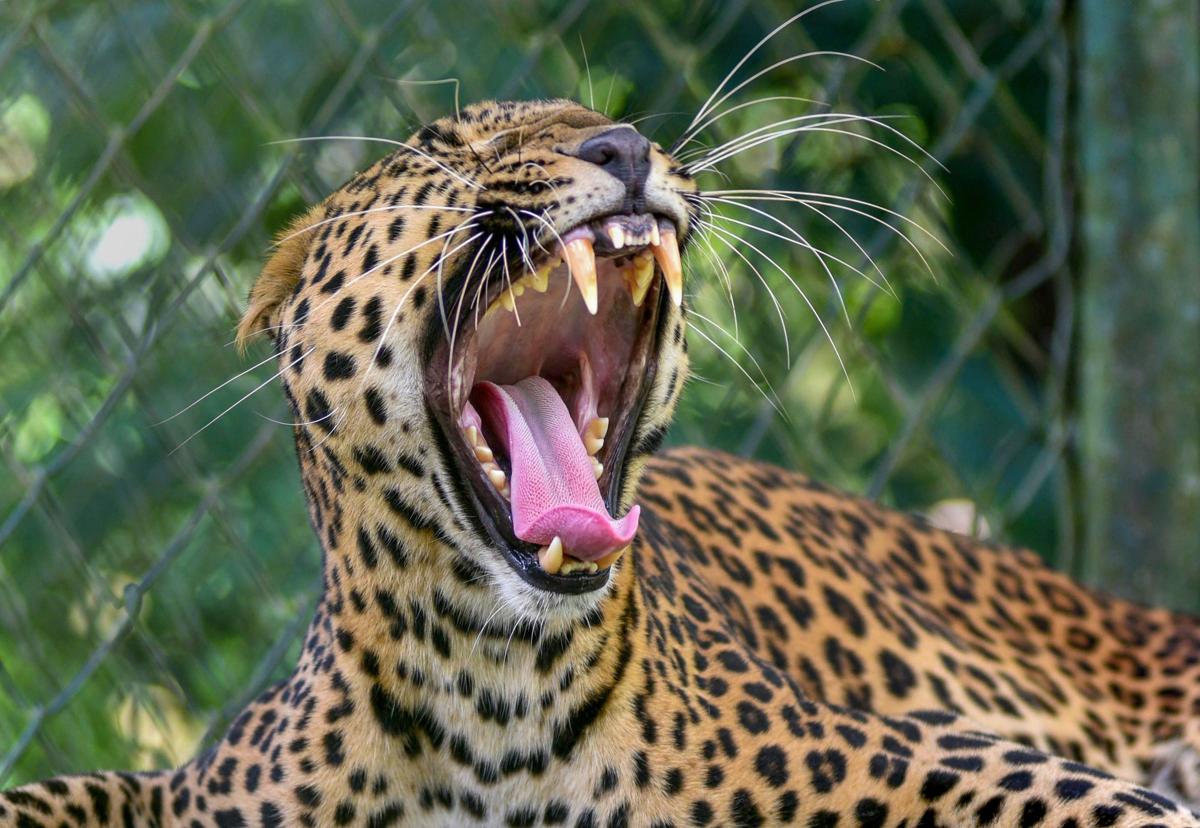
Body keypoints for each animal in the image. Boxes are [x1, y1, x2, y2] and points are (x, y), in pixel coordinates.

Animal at [4, 96, 1200, 828]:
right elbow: (57, 791)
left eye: (617, 129)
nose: (623, 147)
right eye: (444, 142)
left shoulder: (934, 759)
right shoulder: (202, 783)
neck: (492, 696)